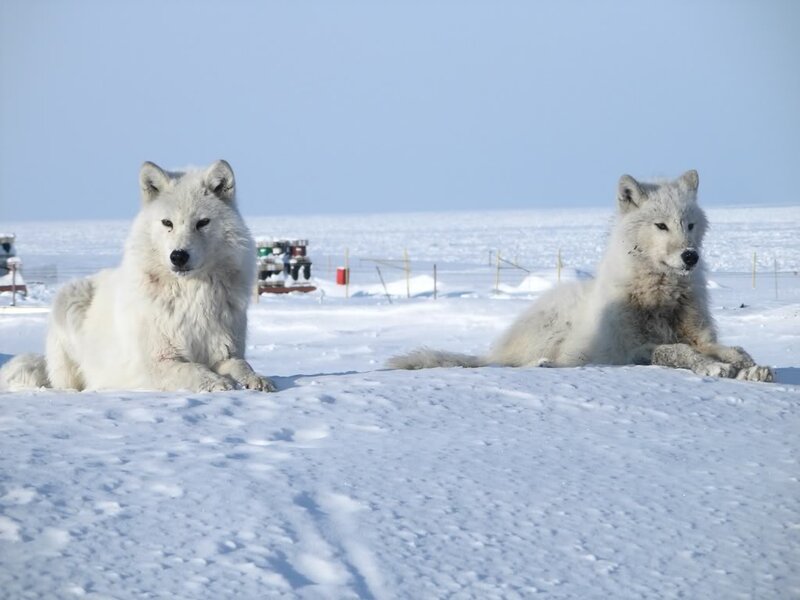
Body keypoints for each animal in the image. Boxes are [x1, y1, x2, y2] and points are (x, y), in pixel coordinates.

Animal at [0, 160, 275, 393]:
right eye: (167, 223)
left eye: (202, 223)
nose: (178, 256)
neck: (191, 294)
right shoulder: (158, 361)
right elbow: (193, 370)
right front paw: (219, 384)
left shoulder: (226, 352)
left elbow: (242, 365)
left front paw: (257, 379)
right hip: (68, 302)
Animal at [389, 170, 773, 382]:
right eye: (661, 226)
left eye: (689, 225)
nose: (690, 256)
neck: (660, 296)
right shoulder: (635, 347)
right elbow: (678, 352)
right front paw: (713, 369)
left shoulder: (702, 336)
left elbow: (735, 350)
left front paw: (751, 370)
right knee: (521, 364)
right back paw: (542, 364)